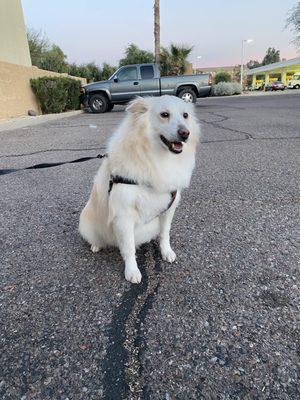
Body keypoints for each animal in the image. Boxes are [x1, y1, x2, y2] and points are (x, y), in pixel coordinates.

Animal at [79, 95, 199, 282]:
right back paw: (96, 245)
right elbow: (128, 248)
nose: (185, 133)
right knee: (96, 238)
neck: (155, 157)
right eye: (164, 114)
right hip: (86, 224)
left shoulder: (168, 209)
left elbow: (165, 234)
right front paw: (132, 271)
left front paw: (166, 252)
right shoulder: (123, 216)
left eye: (185, 115)